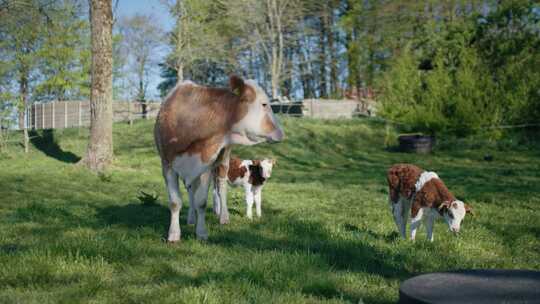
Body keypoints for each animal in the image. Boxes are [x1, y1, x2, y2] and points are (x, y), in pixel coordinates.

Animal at [154, 75, 284, 242]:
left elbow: (201, 202)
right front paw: (174, 235)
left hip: (223, 161)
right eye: (264, 104)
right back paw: (191, 219)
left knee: (221, 187)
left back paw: (223, 217)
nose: (281, 132)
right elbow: (176, 202)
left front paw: (201, 233)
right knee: (192, 191)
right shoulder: (167, 164)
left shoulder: (205, 165)